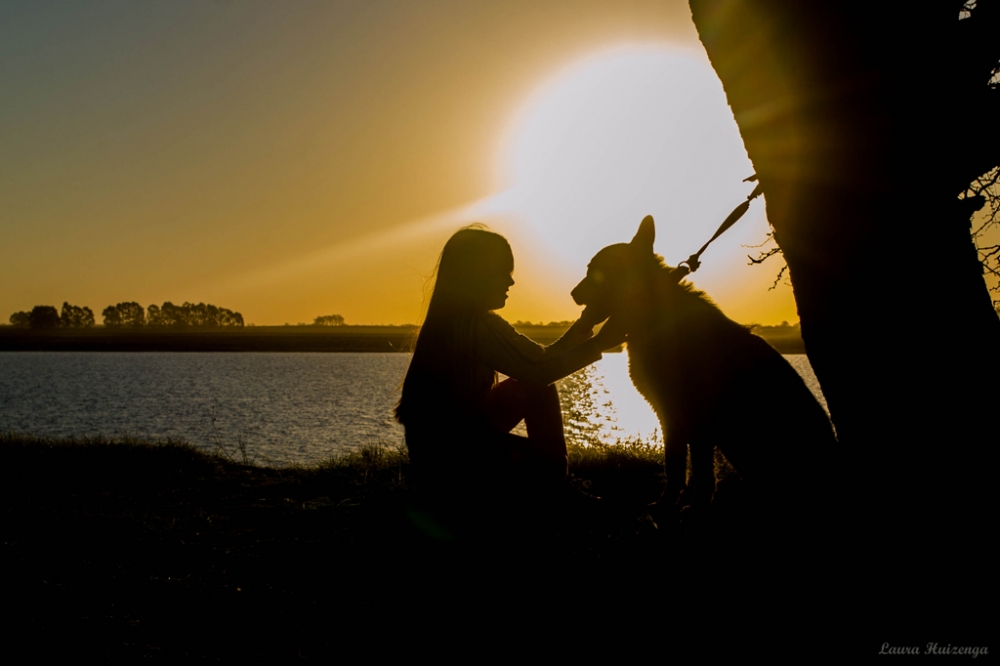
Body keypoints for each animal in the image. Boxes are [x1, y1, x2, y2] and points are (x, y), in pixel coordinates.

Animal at [572, 217, 836, 512]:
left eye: (595, 272)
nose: (572, 294)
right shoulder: (679, 420)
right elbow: (683, 468)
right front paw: (675, 504)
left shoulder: (689, 420)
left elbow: (690, 469)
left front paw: (684, 508)